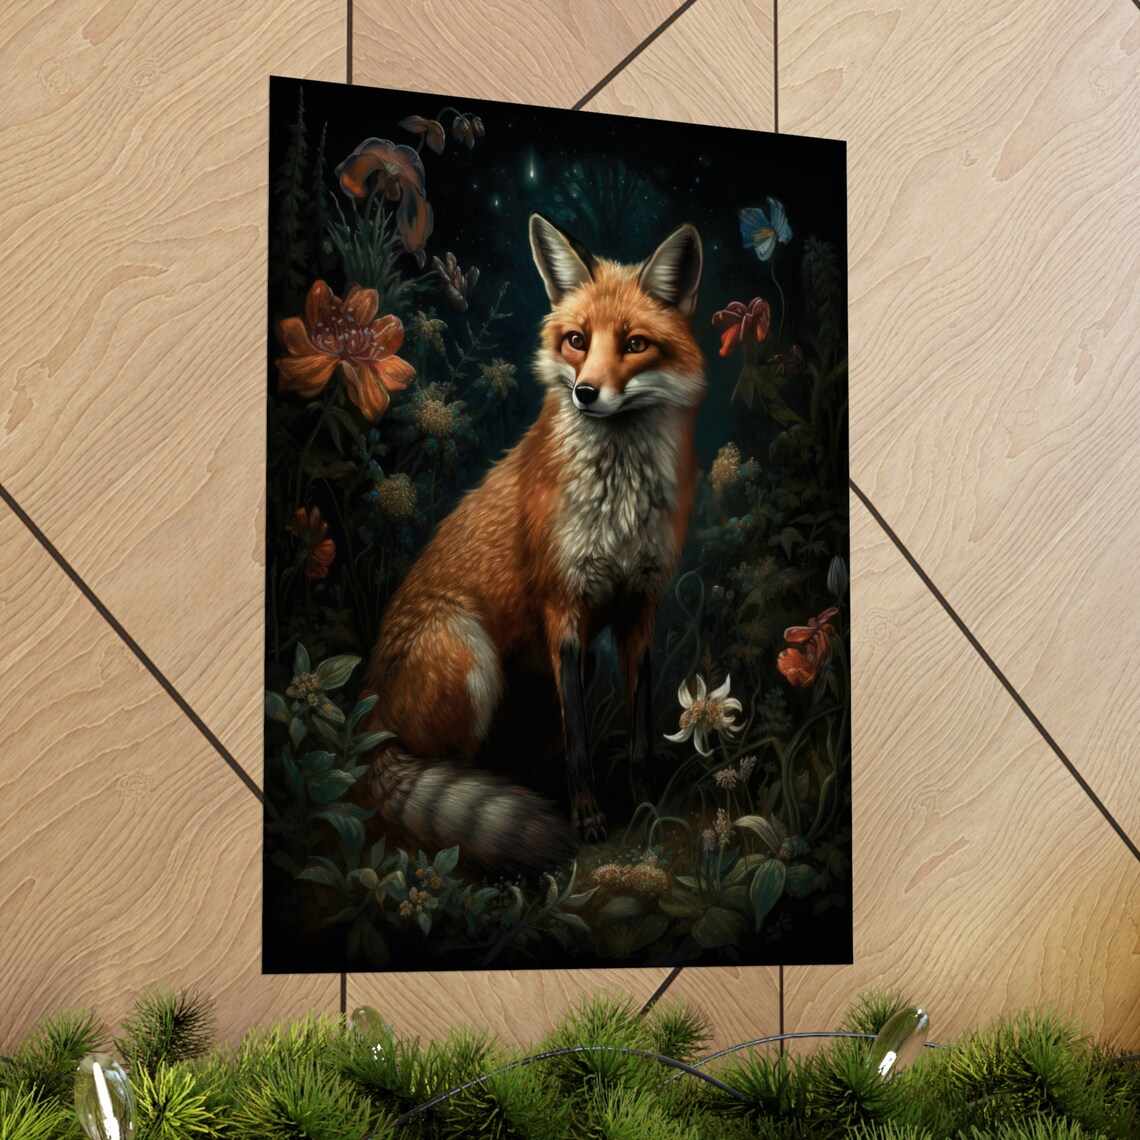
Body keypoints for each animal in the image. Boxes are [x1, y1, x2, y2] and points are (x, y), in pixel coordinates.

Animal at [357, 213, 705, 876]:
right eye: (576, 340)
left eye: (635, 344)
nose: (586, 393)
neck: (618, 502)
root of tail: (371, 714)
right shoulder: (561, 607)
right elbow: (580, 747)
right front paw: (589, 819)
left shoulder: (639, 608)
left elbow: (640, 731)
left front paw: (646, 803)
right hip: (471, 657)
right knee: (442, 778)